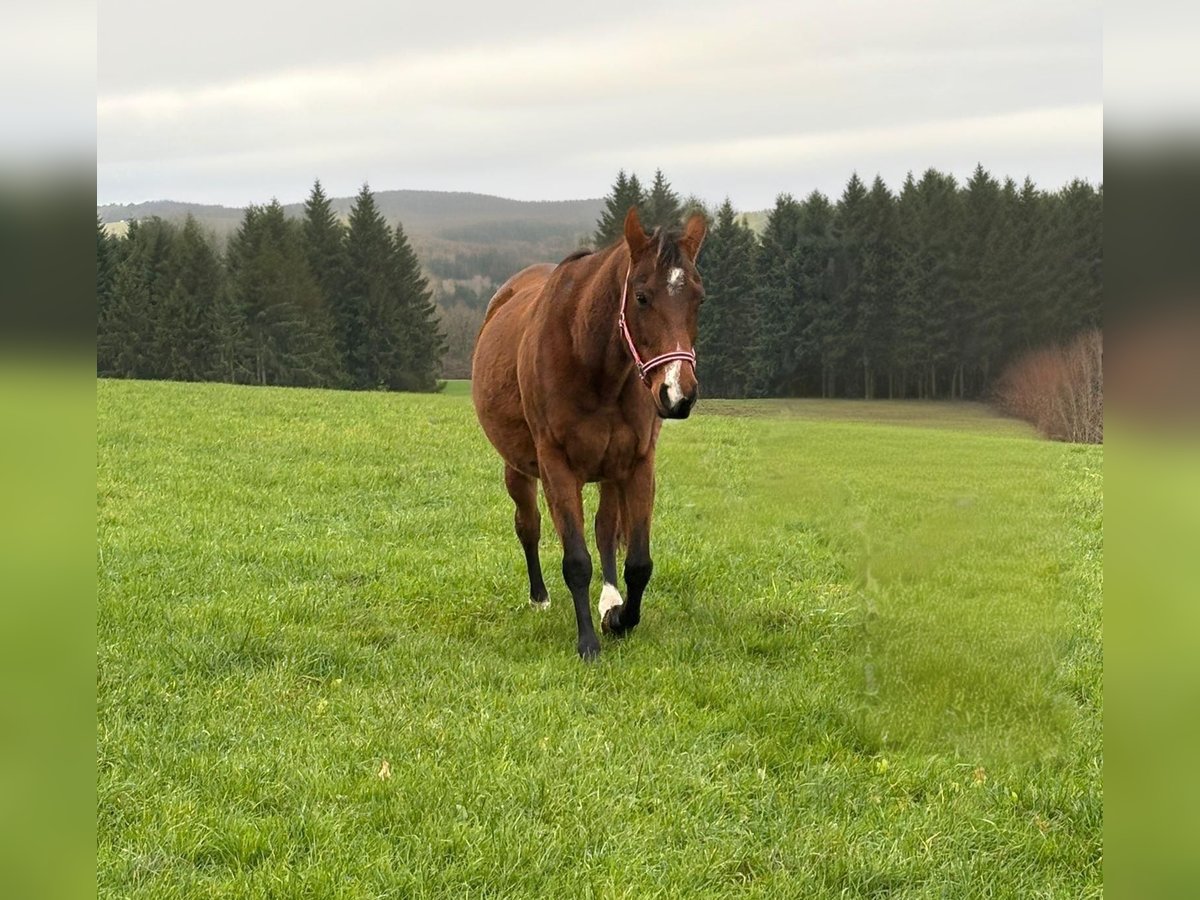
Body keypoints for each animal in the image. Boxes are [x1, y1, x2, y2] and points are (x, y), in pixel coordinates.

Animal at [471, 206, 707, 659]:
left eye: (698, 298)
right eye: (641, 296)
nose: (677, 394)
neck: (590, 359)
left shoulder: (637, 464)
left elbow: (637, 562)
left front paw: (618, 617)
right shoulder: (557, 467)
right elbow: (576, 561)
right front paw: (587, 643)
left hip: (610, 470)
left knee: (604, 530)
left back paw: (609, 599)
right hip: (519, 470)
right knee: (528, 525)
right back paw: (540, 597)